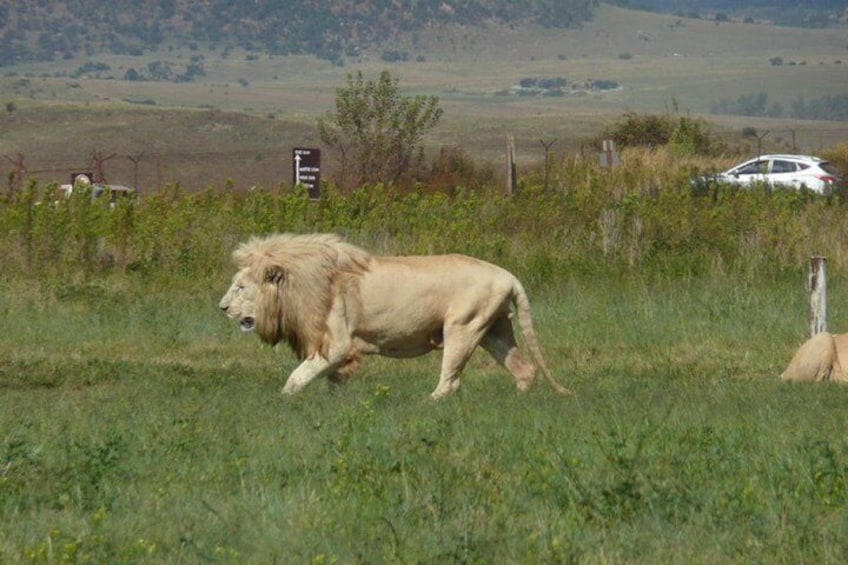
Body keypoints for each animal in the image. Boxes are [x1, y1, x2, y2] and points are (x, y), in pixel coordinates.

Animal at [222, 231, 572, 398]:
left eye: (239, 287)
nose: (222, 308)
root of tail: (508, 275)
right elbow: (331, 383)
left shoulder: (336, 345)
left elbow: (296, 378)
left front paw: (281, 403)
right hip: (494, 330)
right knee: (524, 370)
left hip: (462, 327)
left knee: (450, 381)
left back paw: (425, 405)